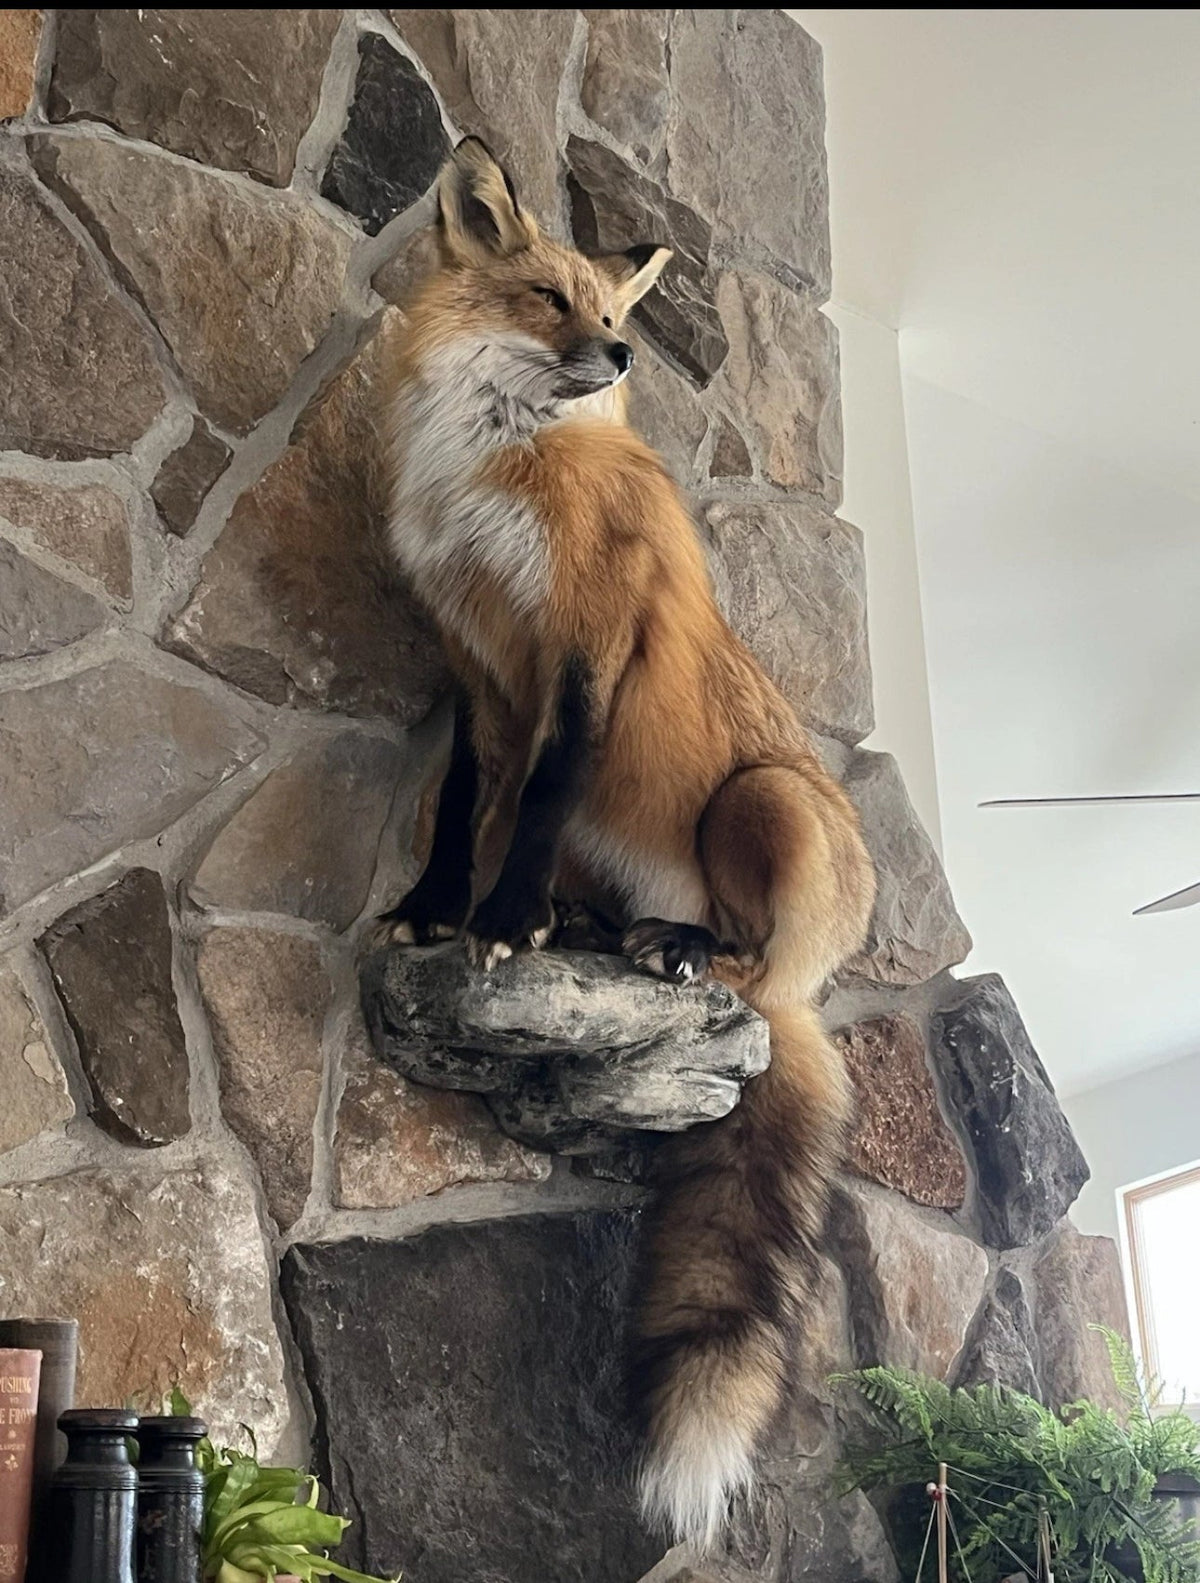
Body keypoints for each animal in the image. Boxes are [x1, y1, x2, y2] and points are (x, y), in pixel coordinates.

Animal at [377, 138, 876, 1550]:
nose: (618, 356)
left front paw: (501, 920)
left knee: (751, 971)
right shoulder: (475, 662)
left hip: (757, 802)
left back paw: (683, 951)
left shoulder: (588, 646)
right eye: (552, 298)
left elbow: (539, 796)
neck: (496, 473)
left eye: (612, 312)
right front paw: (442, 904)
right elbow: (466, 800)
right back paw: (601, 927)